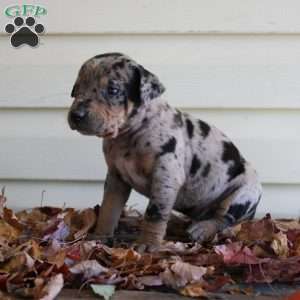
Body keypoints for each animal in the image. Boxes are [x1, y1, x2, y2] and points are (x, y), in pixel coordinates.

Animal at [68, 52, 262, 250]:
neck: (130, 133)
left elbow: (154, 213)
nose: (76, 115)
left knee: (224, 219)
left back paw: (202, 229)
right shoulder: (116, 178)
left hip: (243, 194)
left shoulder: (165, 176)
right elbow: (109, 208)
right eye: (76, 88)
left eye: (113, 90)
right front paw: (100, 236)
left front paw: (148, 244)